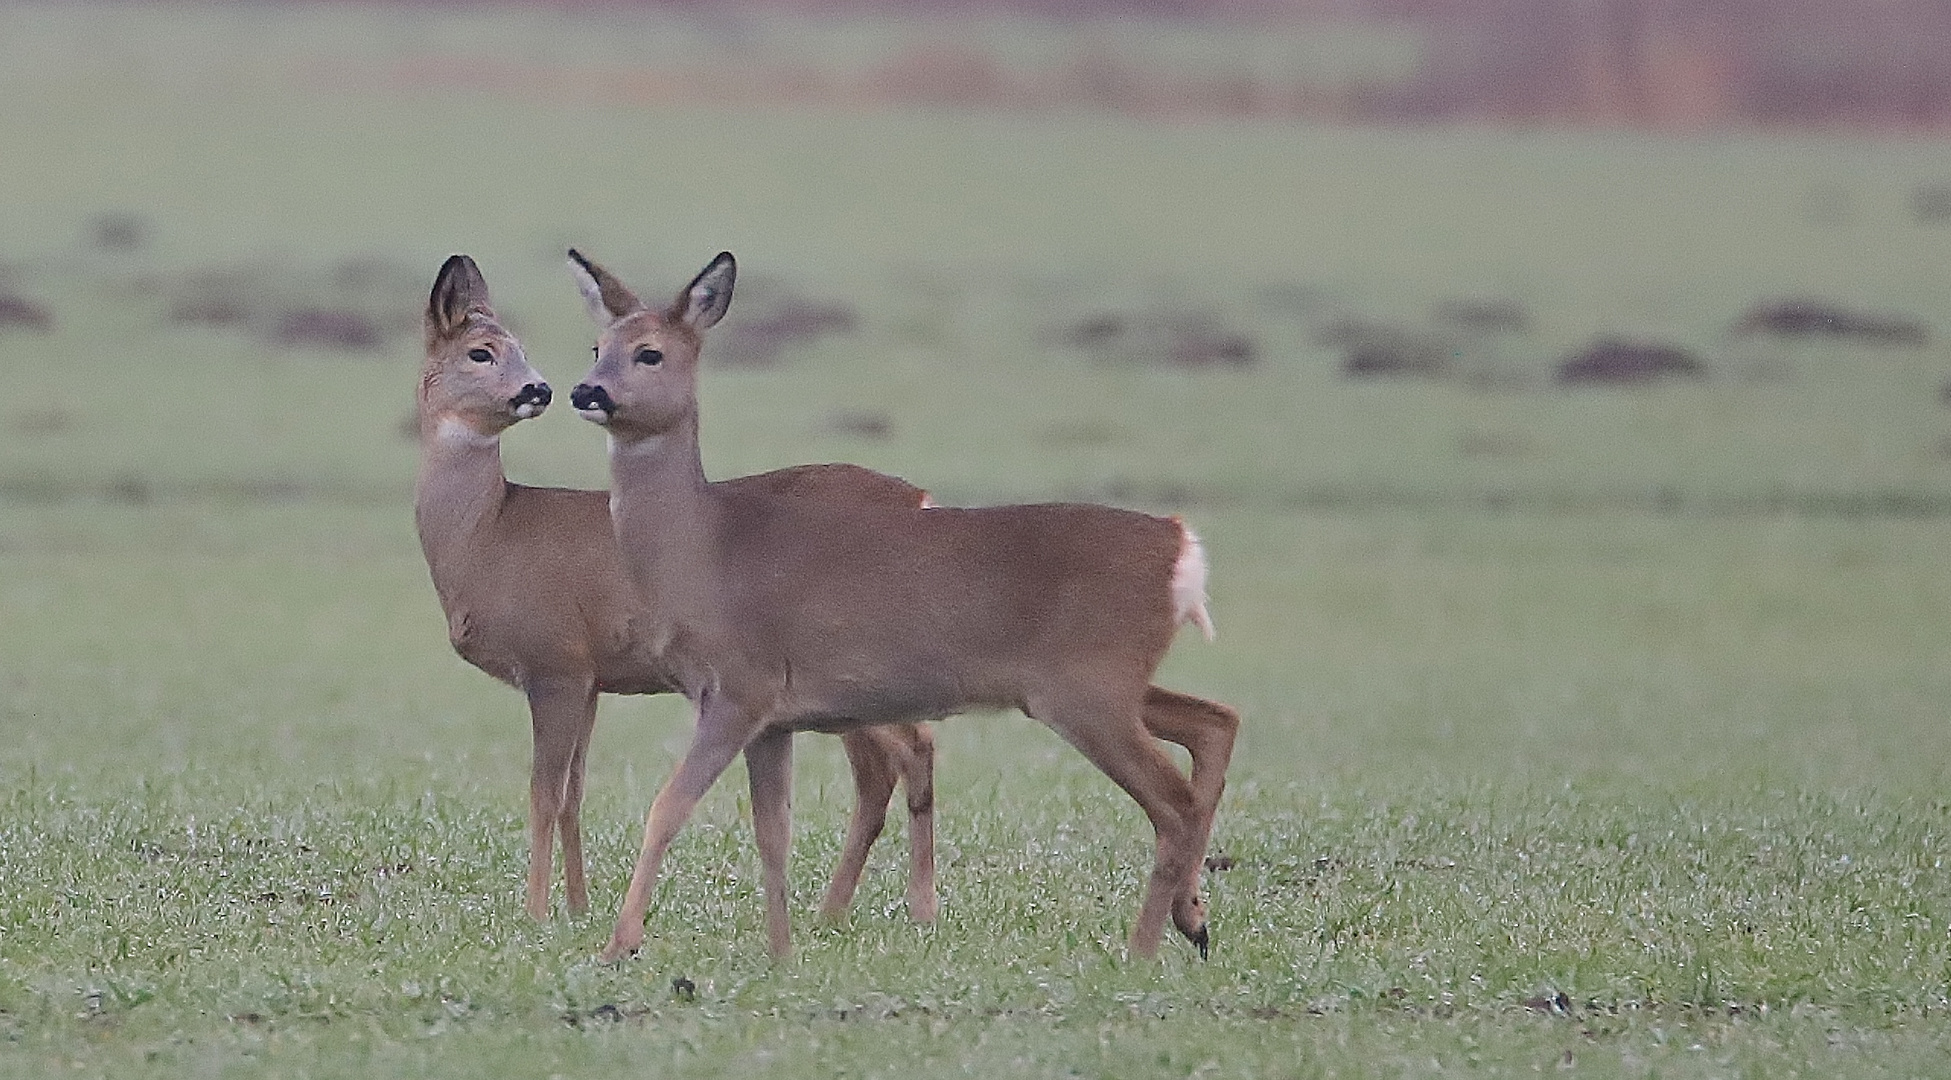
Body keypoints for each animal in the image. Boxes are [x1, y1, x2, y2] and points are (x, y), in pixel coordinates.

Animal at [411, 253, 936, 924]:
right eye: (482, 351)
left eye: (515, 350)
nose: (542, 389)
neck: (489, 534)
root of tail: (920, 498)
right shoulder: (591, 674)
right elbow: (573, 793)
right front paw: (578, 907)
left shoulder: (554, 660)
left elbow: (541, 792)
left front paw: (534, 912)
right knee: (882, 768)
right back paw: (834, 913)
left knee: (908, 750)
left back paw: (910, 909)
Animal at [569, 245, 1233, 959]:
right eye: (597, 345)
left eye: (650, 353)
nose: (586, 391)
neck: (703, 549)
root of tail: (1179, 544)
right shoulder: (773, 718)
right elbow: (773, 831)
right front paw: (781, 950)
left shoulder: (739, 689)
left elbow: (668, 808)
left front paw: (619, 945)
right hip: (1106, 684)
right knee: (1214, 725)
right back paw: (1192, 919)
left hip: (1089, 690)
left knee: (1174, 800)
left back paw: (1141, 951)